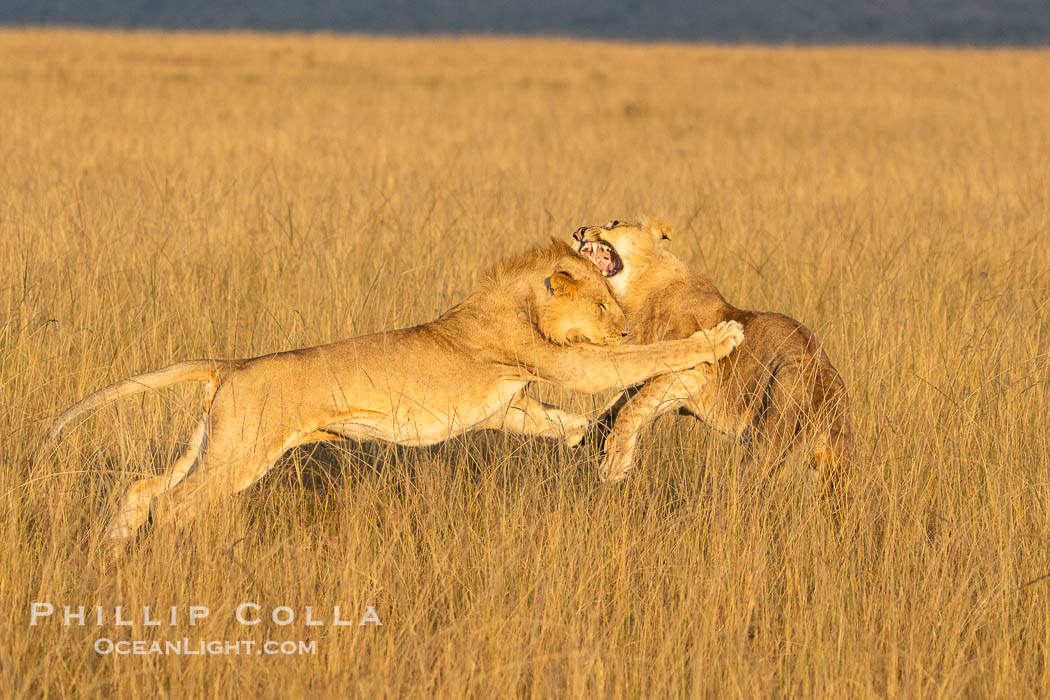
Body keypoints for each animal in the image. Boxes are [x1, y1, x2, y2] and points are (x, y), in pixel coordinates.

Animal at [44, 240, 744, 541]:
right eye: (601, 305)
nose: (621, 322)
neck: (513, 304)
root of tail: (231, 364)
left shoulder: (511, 401)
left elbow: (551, 419)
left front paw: (594, 436)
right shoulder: (558, 363)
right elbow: (638, 358)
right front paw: (719, 335)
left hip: (217, 439)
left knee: (143, 487)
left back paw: (112, 551)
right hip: (242, 451)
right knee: (175, 503)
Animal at [572, 220, 852, 491]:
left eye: (614, 223)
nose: (579, 232)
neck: (638, 292)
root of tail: (829, 386)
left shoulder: (694, 370)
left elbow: (632, 407)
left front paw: (613, 465)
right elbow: (618, 404)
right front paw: (590, 434)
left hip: (767, 443)